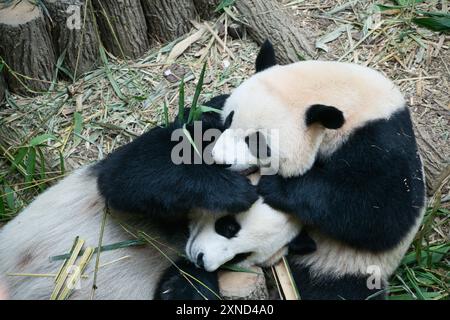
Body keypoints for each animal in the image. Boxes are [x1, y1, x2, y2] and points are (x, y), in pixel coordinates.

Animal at [207, 40, 426, 300]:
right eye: (229, 120)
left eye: (257, 143)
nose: (219, 160)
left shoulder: (380, 139)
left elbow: (382, 213)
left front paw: (276, 187)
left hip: (344, 266)